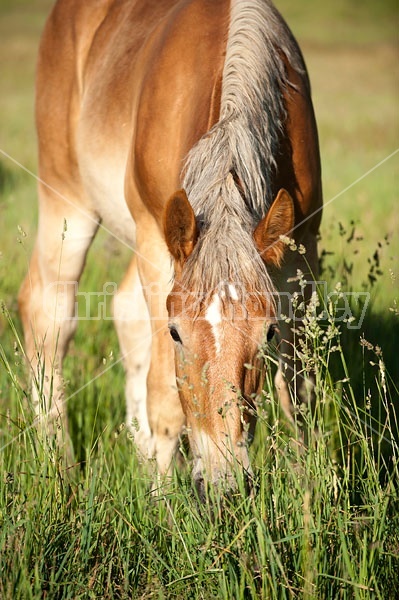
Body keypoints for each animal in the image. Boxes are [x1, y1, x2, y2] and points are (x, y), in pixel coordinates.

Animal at [20, 0, 324, 494]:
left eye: (267, 334)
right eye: (177, 333)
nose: (223, 485)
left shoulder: (304, 250)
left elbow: (298, 393)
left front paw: (307, 493)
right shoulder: (154, 240)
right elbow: (163, 394)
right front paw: (162, 501)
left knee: (122, 311)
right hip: (66, 196)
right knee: (48, 313)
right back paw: (60, 464)